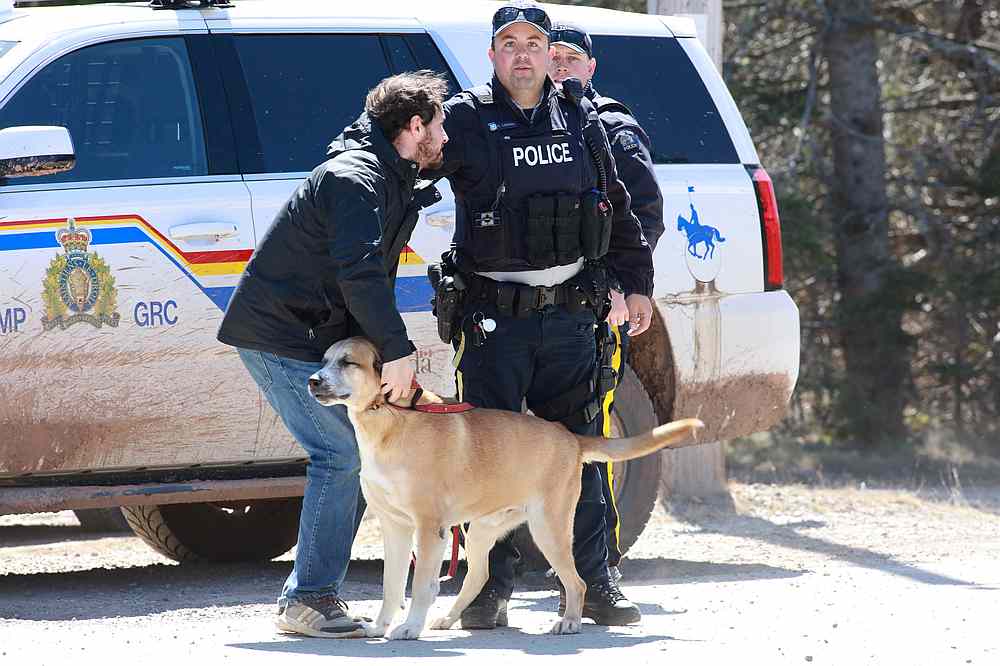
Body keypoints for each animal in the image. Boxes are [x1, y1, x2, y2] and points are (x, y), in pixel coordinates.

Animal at [306, 338, 704, 640]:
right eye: (323, 360)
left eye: (347, 362)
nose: (312, 380)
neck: (389, 416)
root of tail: (569, 437)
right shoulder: (396, 528)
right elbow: (391, 586)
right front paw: (380, 626)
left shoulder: (428, 528)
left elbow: (419, 586)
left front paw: (409, 628)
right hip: (482, 530)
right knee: (481, 575)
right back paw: (450, 618)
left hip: (548, 529)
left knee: (576, 582)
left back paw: (570, 621)